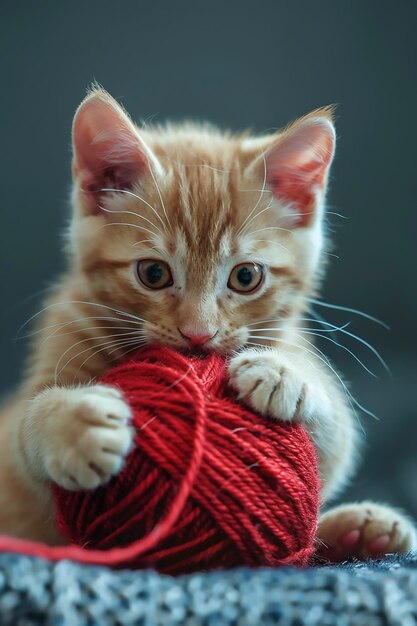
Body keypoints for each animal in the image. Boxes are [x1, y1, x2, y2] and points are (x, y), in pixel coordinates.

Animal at [0, 86, 412, 556]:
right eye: (153, 273)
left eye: (246, 277)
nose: (198, 334)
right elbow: (24, 434)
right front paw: (71, 423)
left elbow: (337, 440)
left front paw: (285, 374)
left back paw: (361, 530)